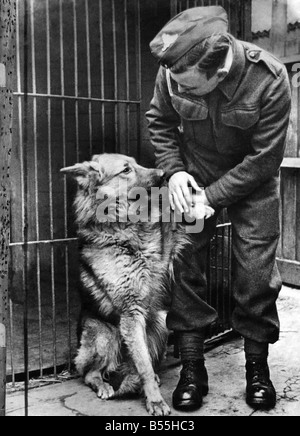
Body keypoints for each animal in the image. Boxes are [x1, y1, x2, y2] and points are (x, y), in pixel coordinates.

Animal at [60, 153, 213, 416]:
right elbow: (144, 367)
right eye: (125, 170)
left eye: (135, 162)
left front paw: (198, 206)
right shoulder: (130, 313)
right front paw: (155, 401)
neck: (125, 229)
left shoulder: (163, 253)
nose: (163, 174)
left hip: (160, 323)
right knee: (90, 372)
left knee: (137, 362)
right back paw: (105, 385)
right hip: (104, 335)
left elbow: (172, 220)